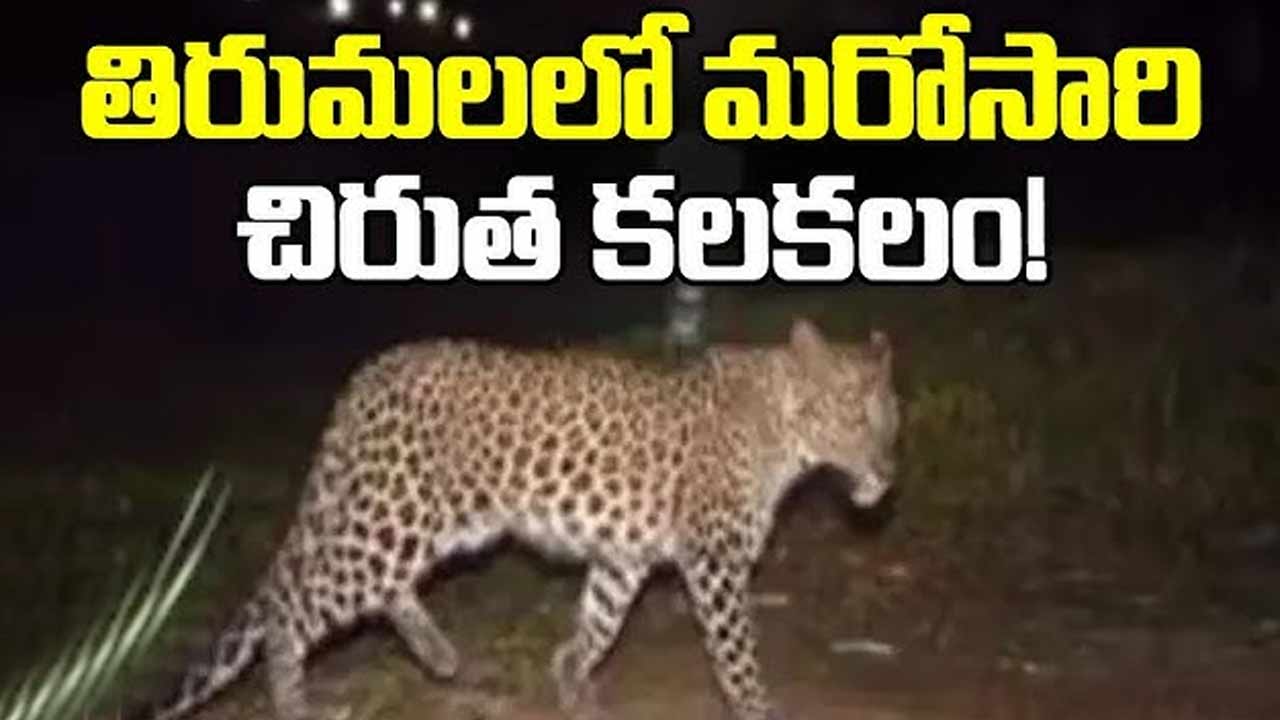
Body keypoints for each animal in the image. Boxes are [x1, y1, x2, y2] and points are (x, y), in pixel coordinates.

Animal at [132, 316, 900, 720]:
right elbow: (736, 656)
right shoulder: (713, 563)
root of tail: (370, 373)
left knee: (354, 589)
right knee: (292, 608)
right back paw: (296, 705)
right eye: (853, 416)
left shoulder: (623, 556)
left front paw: (571, 684)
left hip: (414, 519)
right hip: (395, 515)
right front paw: (759, 708)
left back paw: (439, 655)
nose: (888, 472)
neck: (785, 429)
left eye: (890, 420)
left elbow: (600, 624)